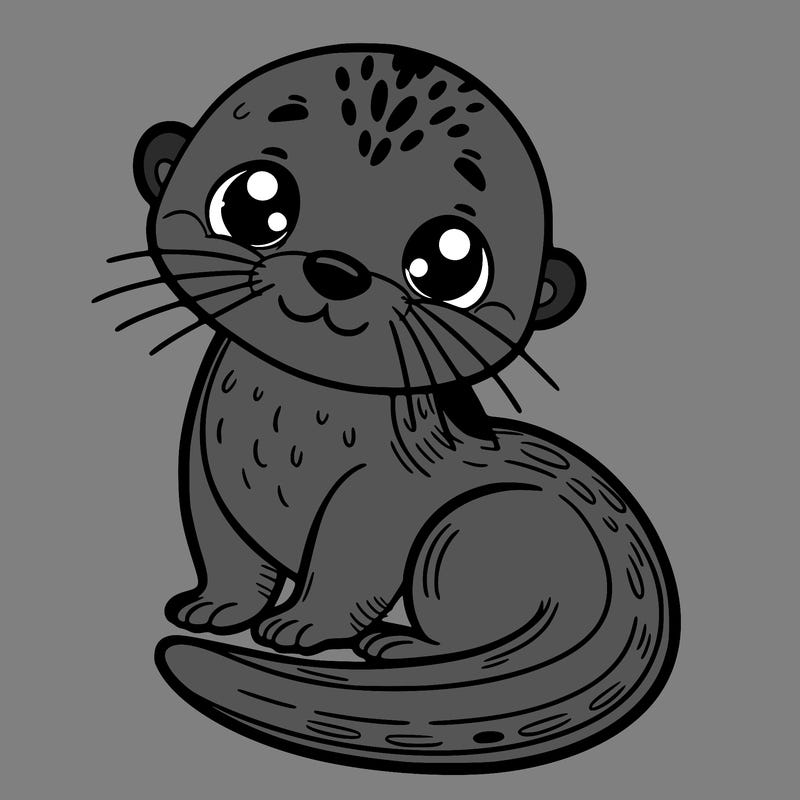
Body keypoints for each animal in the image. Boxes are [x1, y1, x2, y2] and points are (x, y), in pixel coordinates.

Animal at [97, 44, 679, 773]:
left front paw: (301, 625)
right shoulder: (204, 467)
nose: (335, 269)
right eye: (255, 201)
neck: (285, 426)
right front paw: (215, 607)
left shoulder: (378, 496)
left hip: (469, 531)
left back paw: (401, 646)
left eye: (450, 263)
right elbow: (224, 549)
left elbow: (350, 566)